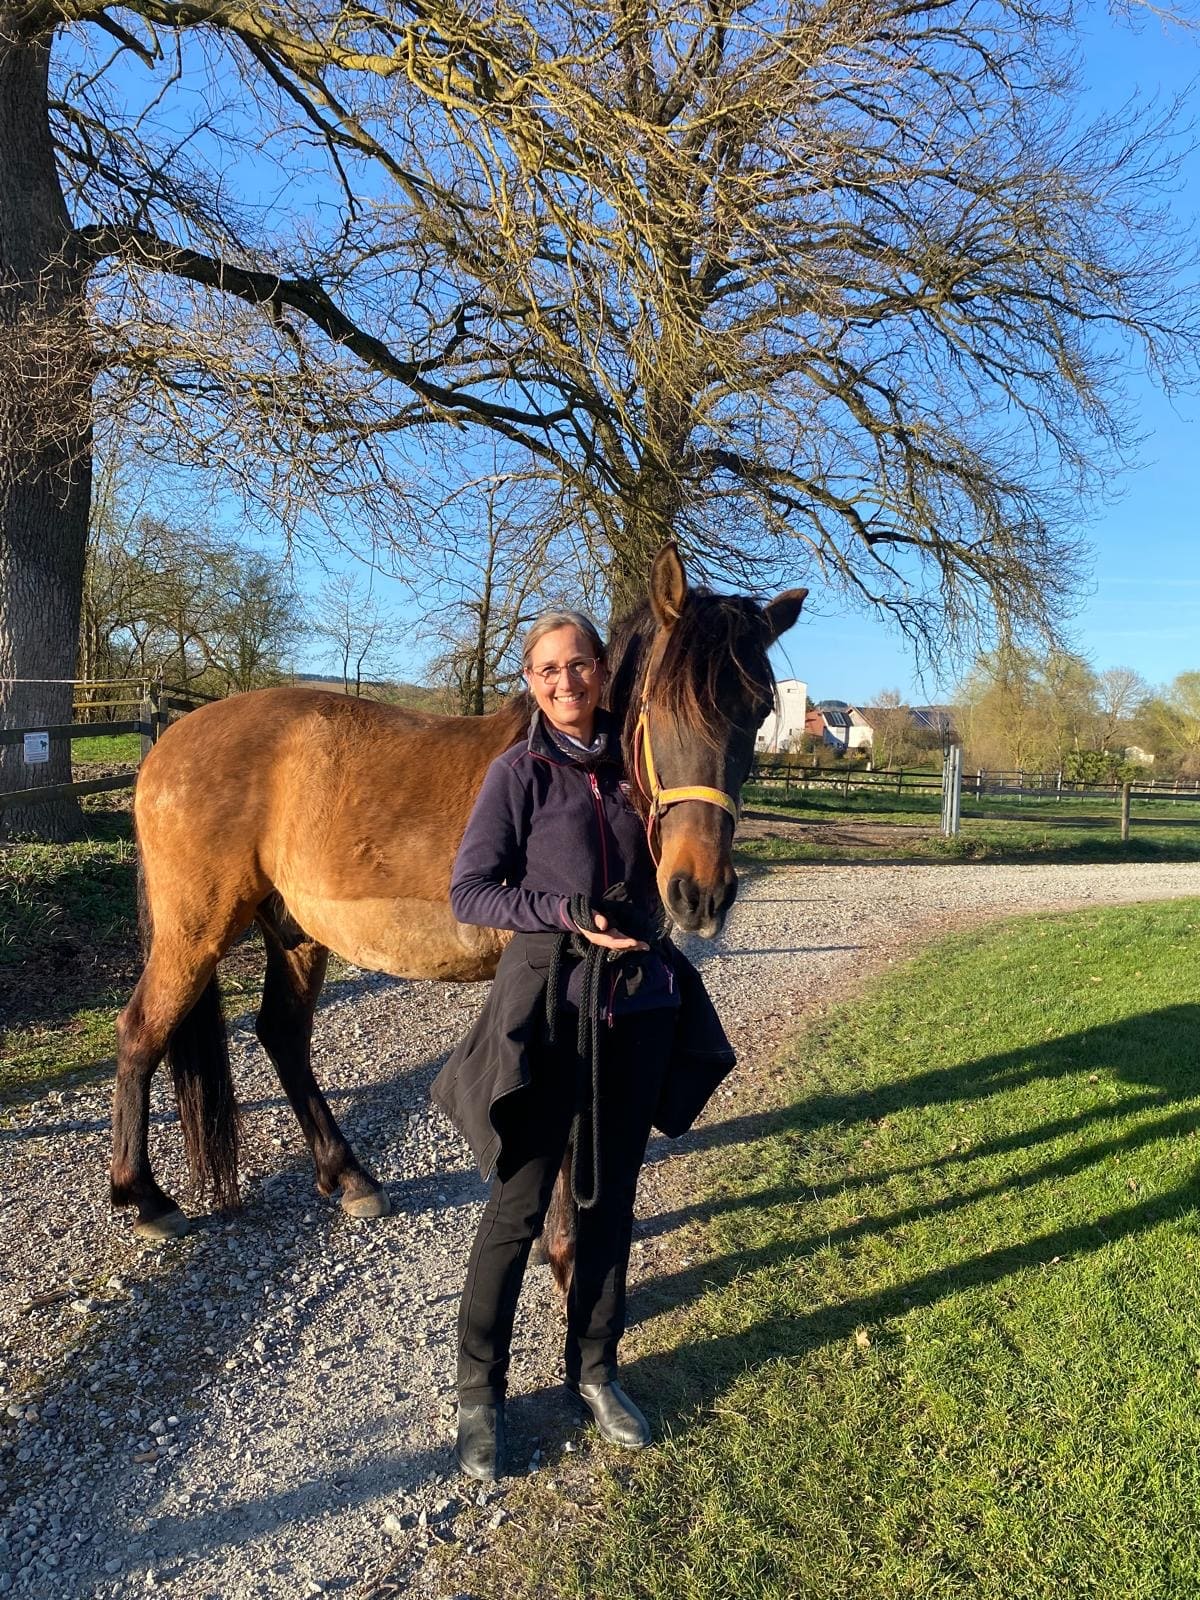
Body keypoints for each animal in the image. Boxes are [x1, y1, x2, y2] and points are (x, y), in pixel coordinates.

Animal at [109, 544, 806, 1246]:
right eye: (662, 708)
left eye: (755, 714)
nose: (701, 893)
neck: (577, 766)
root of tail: (170, 740)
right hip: (196, 930)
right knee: (141, 1031)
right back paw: (143, 1198)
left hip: (296, 933)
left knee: (281, 1036)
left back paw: (349, 1177)